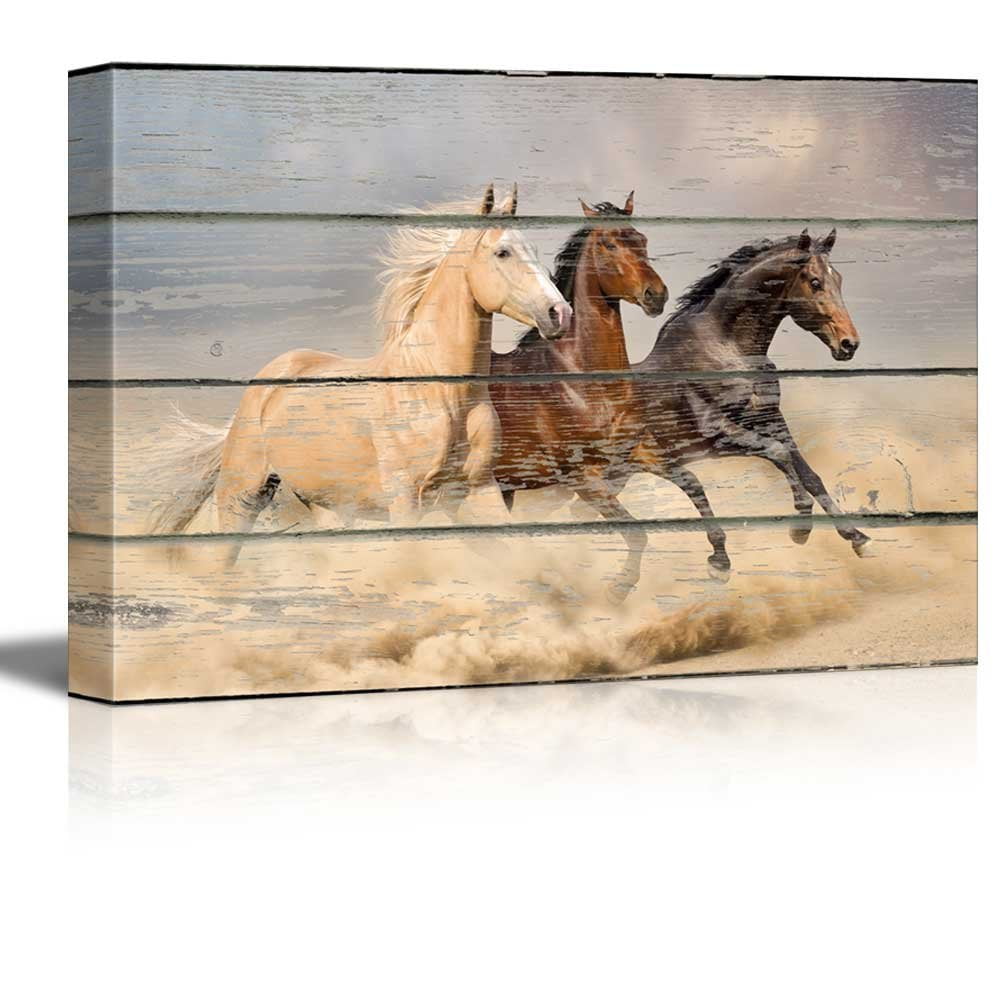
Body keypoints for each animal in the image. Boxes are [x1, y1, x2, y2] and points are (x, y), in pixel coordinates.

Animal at [150, 184, 572, 564]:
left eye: (534, 250)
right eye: (503, 252)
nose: (559, 313)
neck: (442, 395)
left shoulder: (479, 490)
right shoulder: (406, 500)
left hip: (327, 508)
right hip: (241, 498)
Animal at [490, 193, 668, 599]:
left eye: (642, 239)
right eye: (609, 244)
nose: (656, 295)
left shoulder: (625, 460)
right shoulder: (580, 477)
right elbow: (637, 532)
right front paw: (619, 588)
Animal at [626, 227, 871, 579]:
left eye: (838, 278)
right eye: (814, 282)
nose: (849, 344)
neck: (727, 348)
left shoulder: (771, 419)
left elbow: (807, 471)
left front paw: (857, 536)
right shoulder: (717, 432)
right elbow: (778, 453)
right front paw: (800, 528)